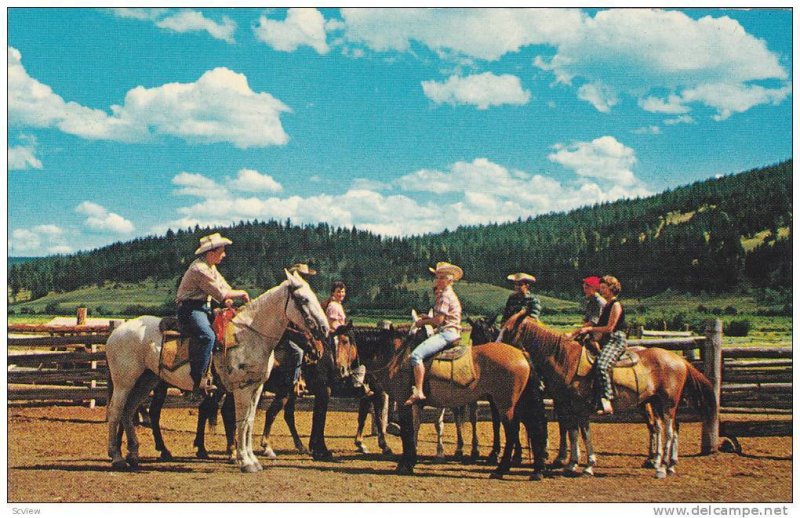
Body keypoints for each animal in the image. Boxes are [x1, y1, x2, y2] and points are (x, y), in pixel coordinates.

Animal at [104, 272, 330, 476]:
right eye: (303, 299)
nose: (324, 329)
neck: (249, 335)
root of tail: (117, 331)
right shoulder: (241, 388)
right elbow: (241, 422)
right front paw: (244, 461)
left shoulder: (256, 388)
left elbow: (249, 422)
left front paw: (252, 459)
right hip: (125, 382)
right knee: (117, 411)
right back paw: (117, 458)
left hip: (146, 381)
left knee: (129, 411)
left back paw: (134, 455)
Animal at [354, 328, 552, 482]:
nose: (359, 384)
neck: (398, 357)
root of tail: (521, 354)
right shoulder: (415, 405)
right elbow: (413, 429)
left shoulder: (404, 402)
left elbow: (408, 431)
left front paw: (406, 464)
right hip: (520, 403)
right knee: (534, 428)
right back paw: (537, 470)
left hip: (506, 405)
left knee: (513, 432)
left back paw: (501, 470)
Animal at [500, 312, 720, 480]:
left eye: (508, 330)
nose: (497, 348)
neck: (566, 360)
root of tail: (680, 361)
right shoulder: (568, 406)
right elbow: (572, 433)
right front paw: (571, 465)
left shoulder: (580, 407)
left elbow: (584, 433)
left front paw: (588, 466)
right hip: (657, 403)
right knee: (670, 429)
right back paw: (668, 464)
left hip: (668, 404)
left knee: (666, 431)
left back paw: (662, 468)